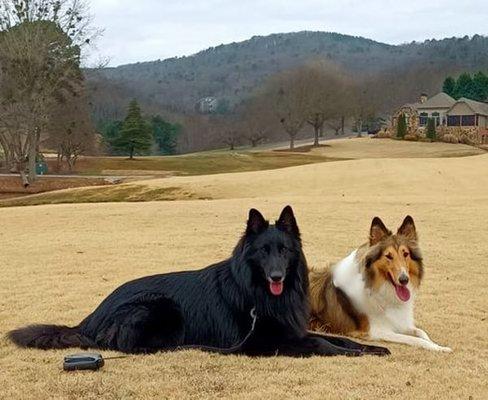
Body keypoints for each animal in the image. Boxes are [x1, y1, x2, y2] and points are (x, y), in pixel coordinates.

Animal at [8, 206, 388, 356]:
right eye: (263, 252)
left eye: (283, 250)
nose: (277, 276)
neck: (259, 294)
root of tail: (90, 317)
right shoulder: (268, 340)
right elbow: (323, 343)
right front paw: (353, 354)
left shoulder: (293, 328)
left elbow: (339, 338)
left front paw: (373, 348)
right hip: (159, 307)